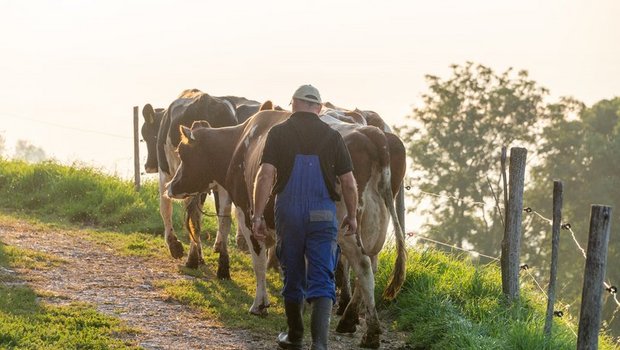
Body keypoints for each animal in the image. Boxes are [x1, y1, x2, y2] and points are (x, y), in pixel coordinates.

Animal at [166, 108, 406, 348]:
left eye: (182, 152)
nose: (170, 187)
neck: (240, 144)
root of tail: (373, 134)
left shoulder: (248, 215)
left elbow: (259, 262)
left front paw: (260, 304)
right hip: (373, 228)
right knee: (370, 266)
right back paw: (351, 320)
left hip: (347, 229)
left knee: (363, 266)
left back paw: (369, 331)